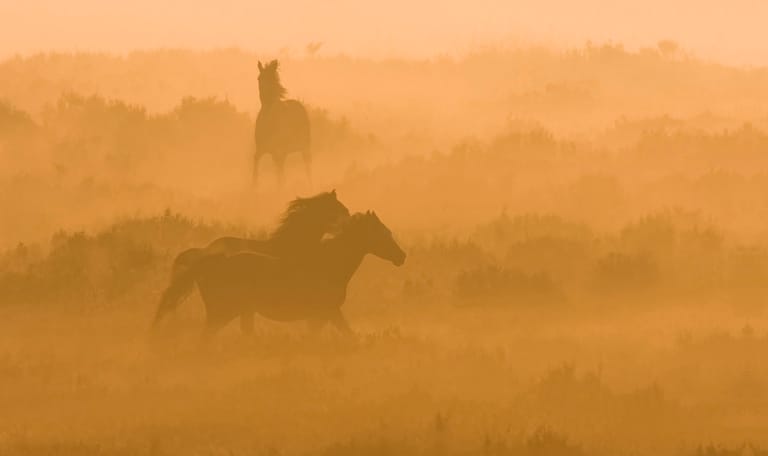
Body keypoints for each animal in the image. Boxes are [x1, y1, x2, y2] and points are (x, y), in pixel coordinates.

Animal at [188, 211, 405, 337]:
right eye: (382, 233)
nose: (401, 256)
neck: (330, 265)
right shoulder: (329, 312)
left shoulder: (321, 316)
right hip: (221, 313)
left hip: (242, 312)